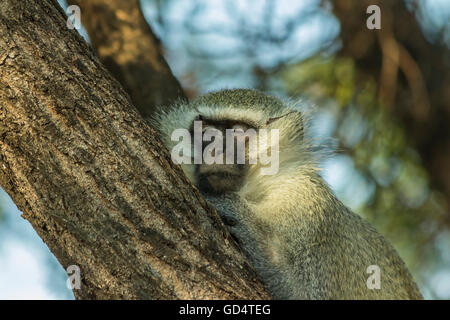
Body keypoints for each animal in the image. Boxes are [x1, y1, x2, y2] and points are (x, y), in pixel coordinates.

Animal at [153, 88, 424, 300]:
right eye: (205, 133)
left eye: (239, 133)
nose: (215, 151)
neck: (253, 191)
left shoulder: (305, 205)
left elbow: (303, 294)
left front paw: (238, 217)